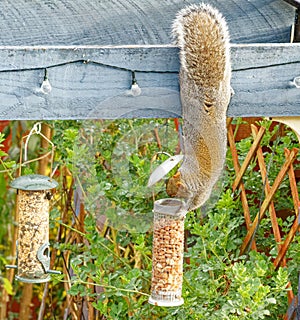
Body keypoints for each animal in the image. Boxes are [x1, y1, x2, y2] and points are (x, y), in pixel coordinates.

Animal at [166, 3, 232, 211]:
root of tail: (207, 93)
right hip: (222, 94)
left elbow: (196, 202)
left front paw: (185, 209)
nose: (168, 195)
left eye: (174, 192)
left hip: (188, 91)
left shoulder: (201, 192)